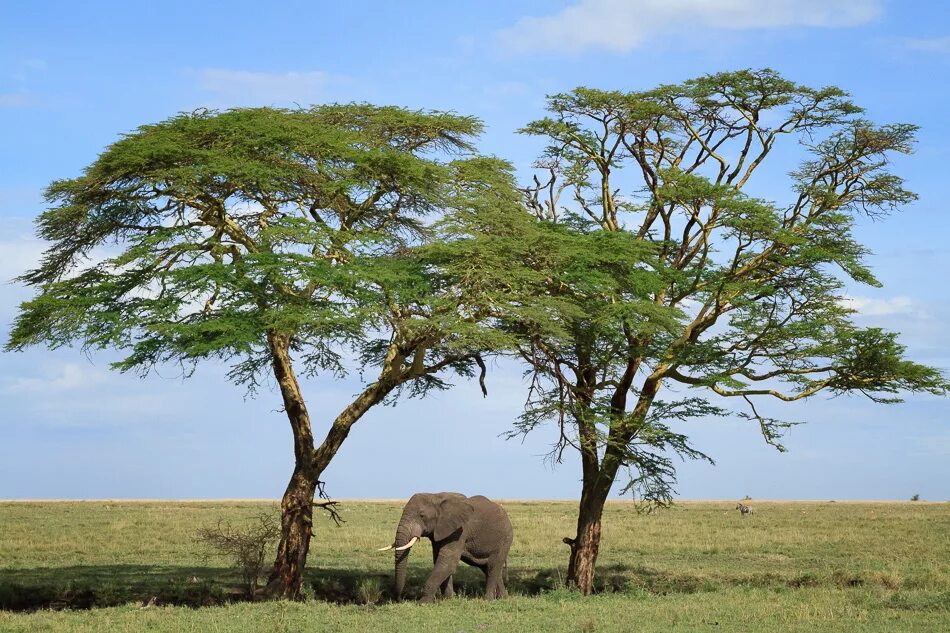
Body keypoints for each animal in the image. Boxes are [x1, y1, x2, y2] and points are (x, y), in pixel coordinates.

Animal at [378, 492, 512, 600]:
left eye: (422, 515)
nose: (399, 599)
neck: (436, 496)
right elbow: (440, 560)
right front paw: (448, 599)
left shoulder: (460, 530)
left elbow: (448, 561)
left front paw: (423, 602)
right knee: (488, 568)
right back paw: (503, 598)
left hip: (505, 540)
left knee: (493, 567)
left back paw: (488, 599)